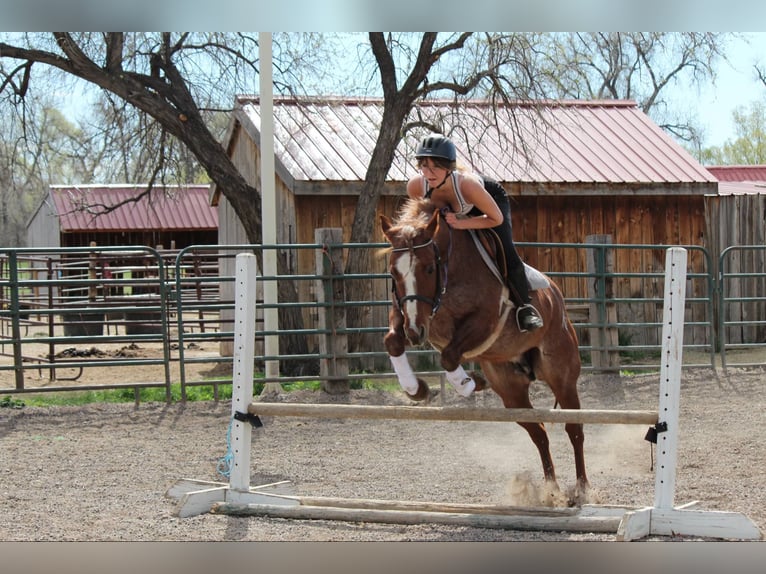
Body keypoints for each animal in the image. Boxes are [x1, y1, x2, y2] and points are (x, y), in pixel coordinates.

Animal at [380, 197, 588, 498]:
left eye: (429, 268)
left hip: (562, 375)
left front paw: (468, 383)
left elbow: (449, 357)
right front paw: (417, 389)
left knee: (575, 428)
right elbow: (393, 342)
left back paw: (583, 490)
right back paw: (550, 491)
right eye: (394, 272)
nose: (416, 333)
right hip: (511, 391)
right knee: (538, 432)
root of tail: (556, 296)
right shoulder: (406, 313)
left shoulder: (485, 320)